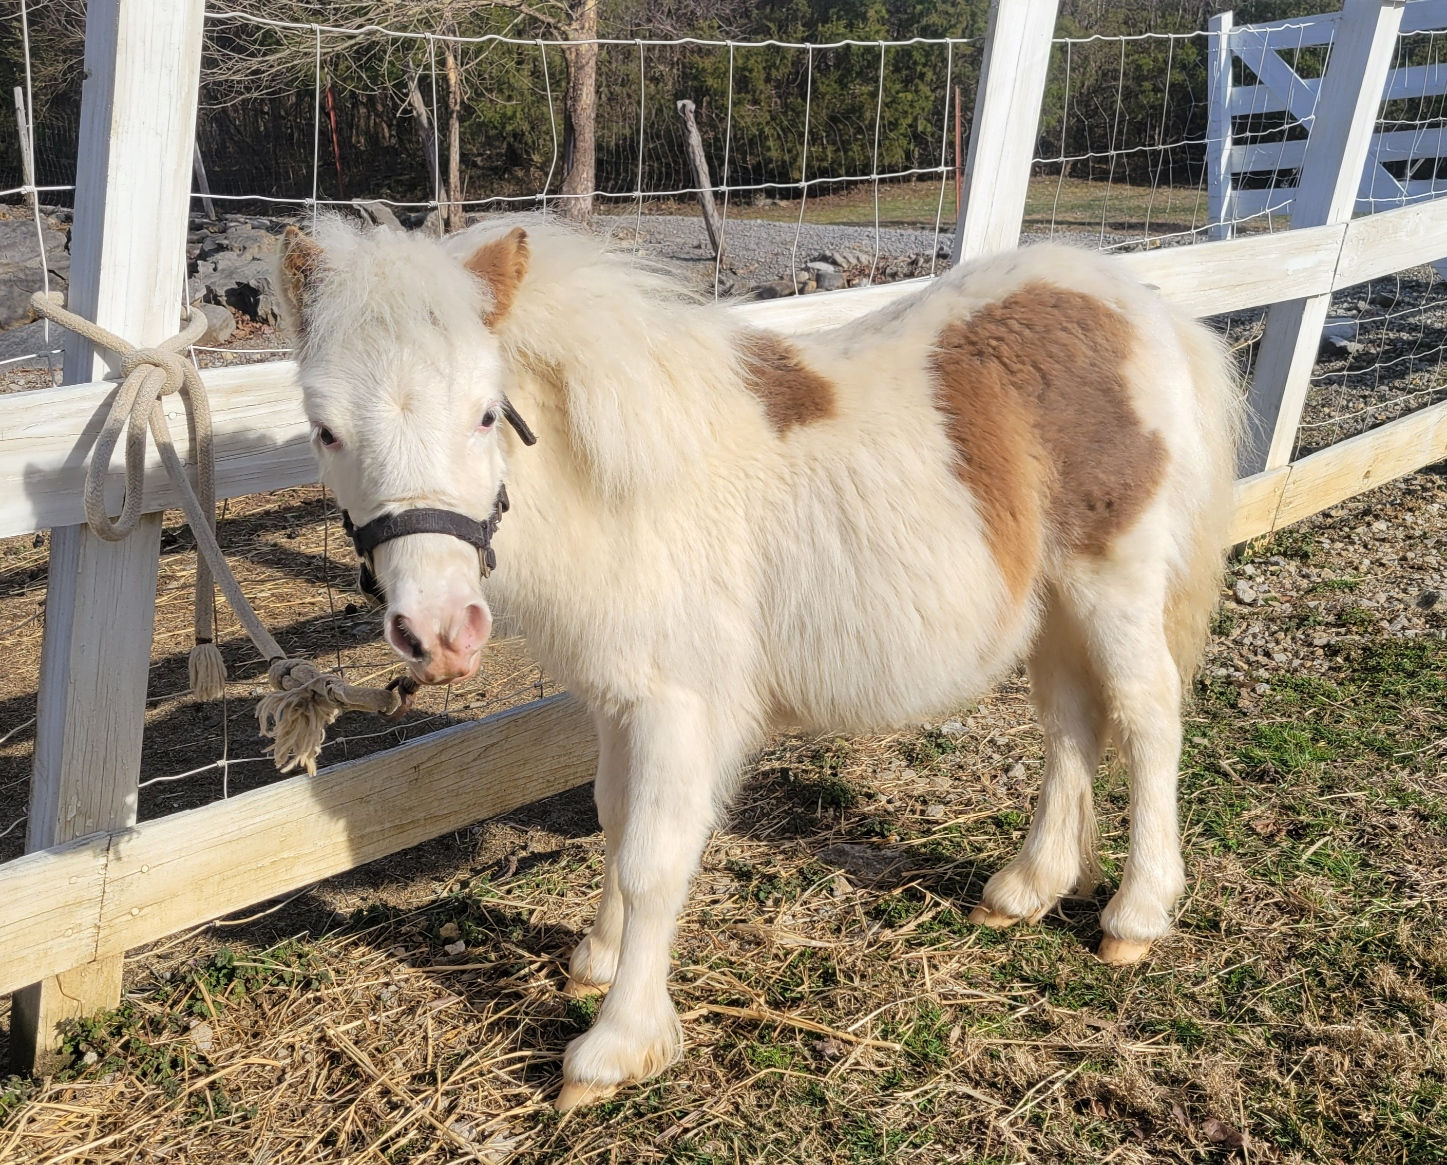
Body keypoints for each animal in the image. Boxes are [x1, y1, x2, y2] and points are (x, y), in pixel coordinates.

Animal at [277, 216, 1241, 1110]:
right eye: (324, 430)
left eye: (485, 410)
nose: (439, 632)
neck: (626, 491)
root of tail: (1143, 306)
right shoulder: (618, 698)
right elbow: (614, 818)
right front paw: (596, 957)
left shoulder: (678, 706)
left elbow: (652, 858)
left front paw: (614, 1047)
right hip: (1053, 607)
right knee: (1070, 724)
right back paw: (1025, 888)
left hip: (1113, 584)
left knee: (1148, 716)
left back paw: (1135, 915)